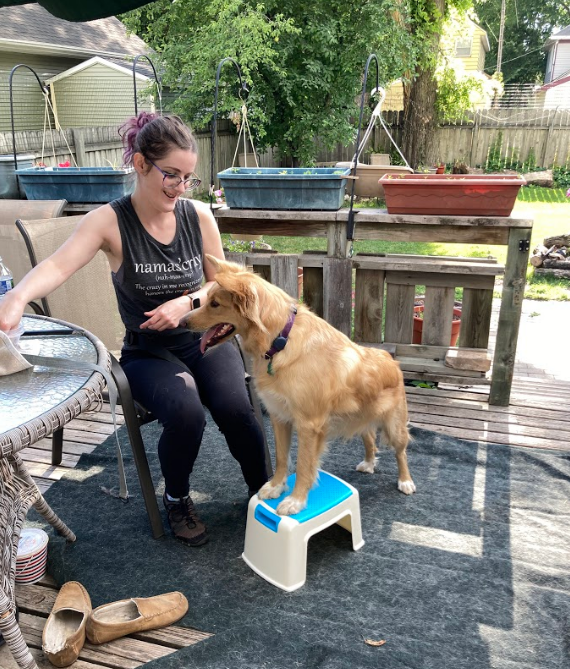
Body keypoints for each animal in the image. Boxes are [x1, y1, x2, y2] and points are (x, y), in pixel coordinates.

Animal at [186, 253, 412, 516]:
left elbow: (305, 465)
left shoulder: (308, 425)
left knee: (401, 451)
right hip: (359, 415)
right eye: (208, 301)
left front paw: (296, 500)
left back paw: (405, 480)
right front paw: (276, 486)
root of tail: (391, 360)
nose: (182, 321)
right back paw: (368, 462)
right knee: (369, 436)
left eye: (214, 304)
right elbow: (282, 458)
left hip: (394, 427)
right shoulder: (279, 416)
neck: (279, 341)